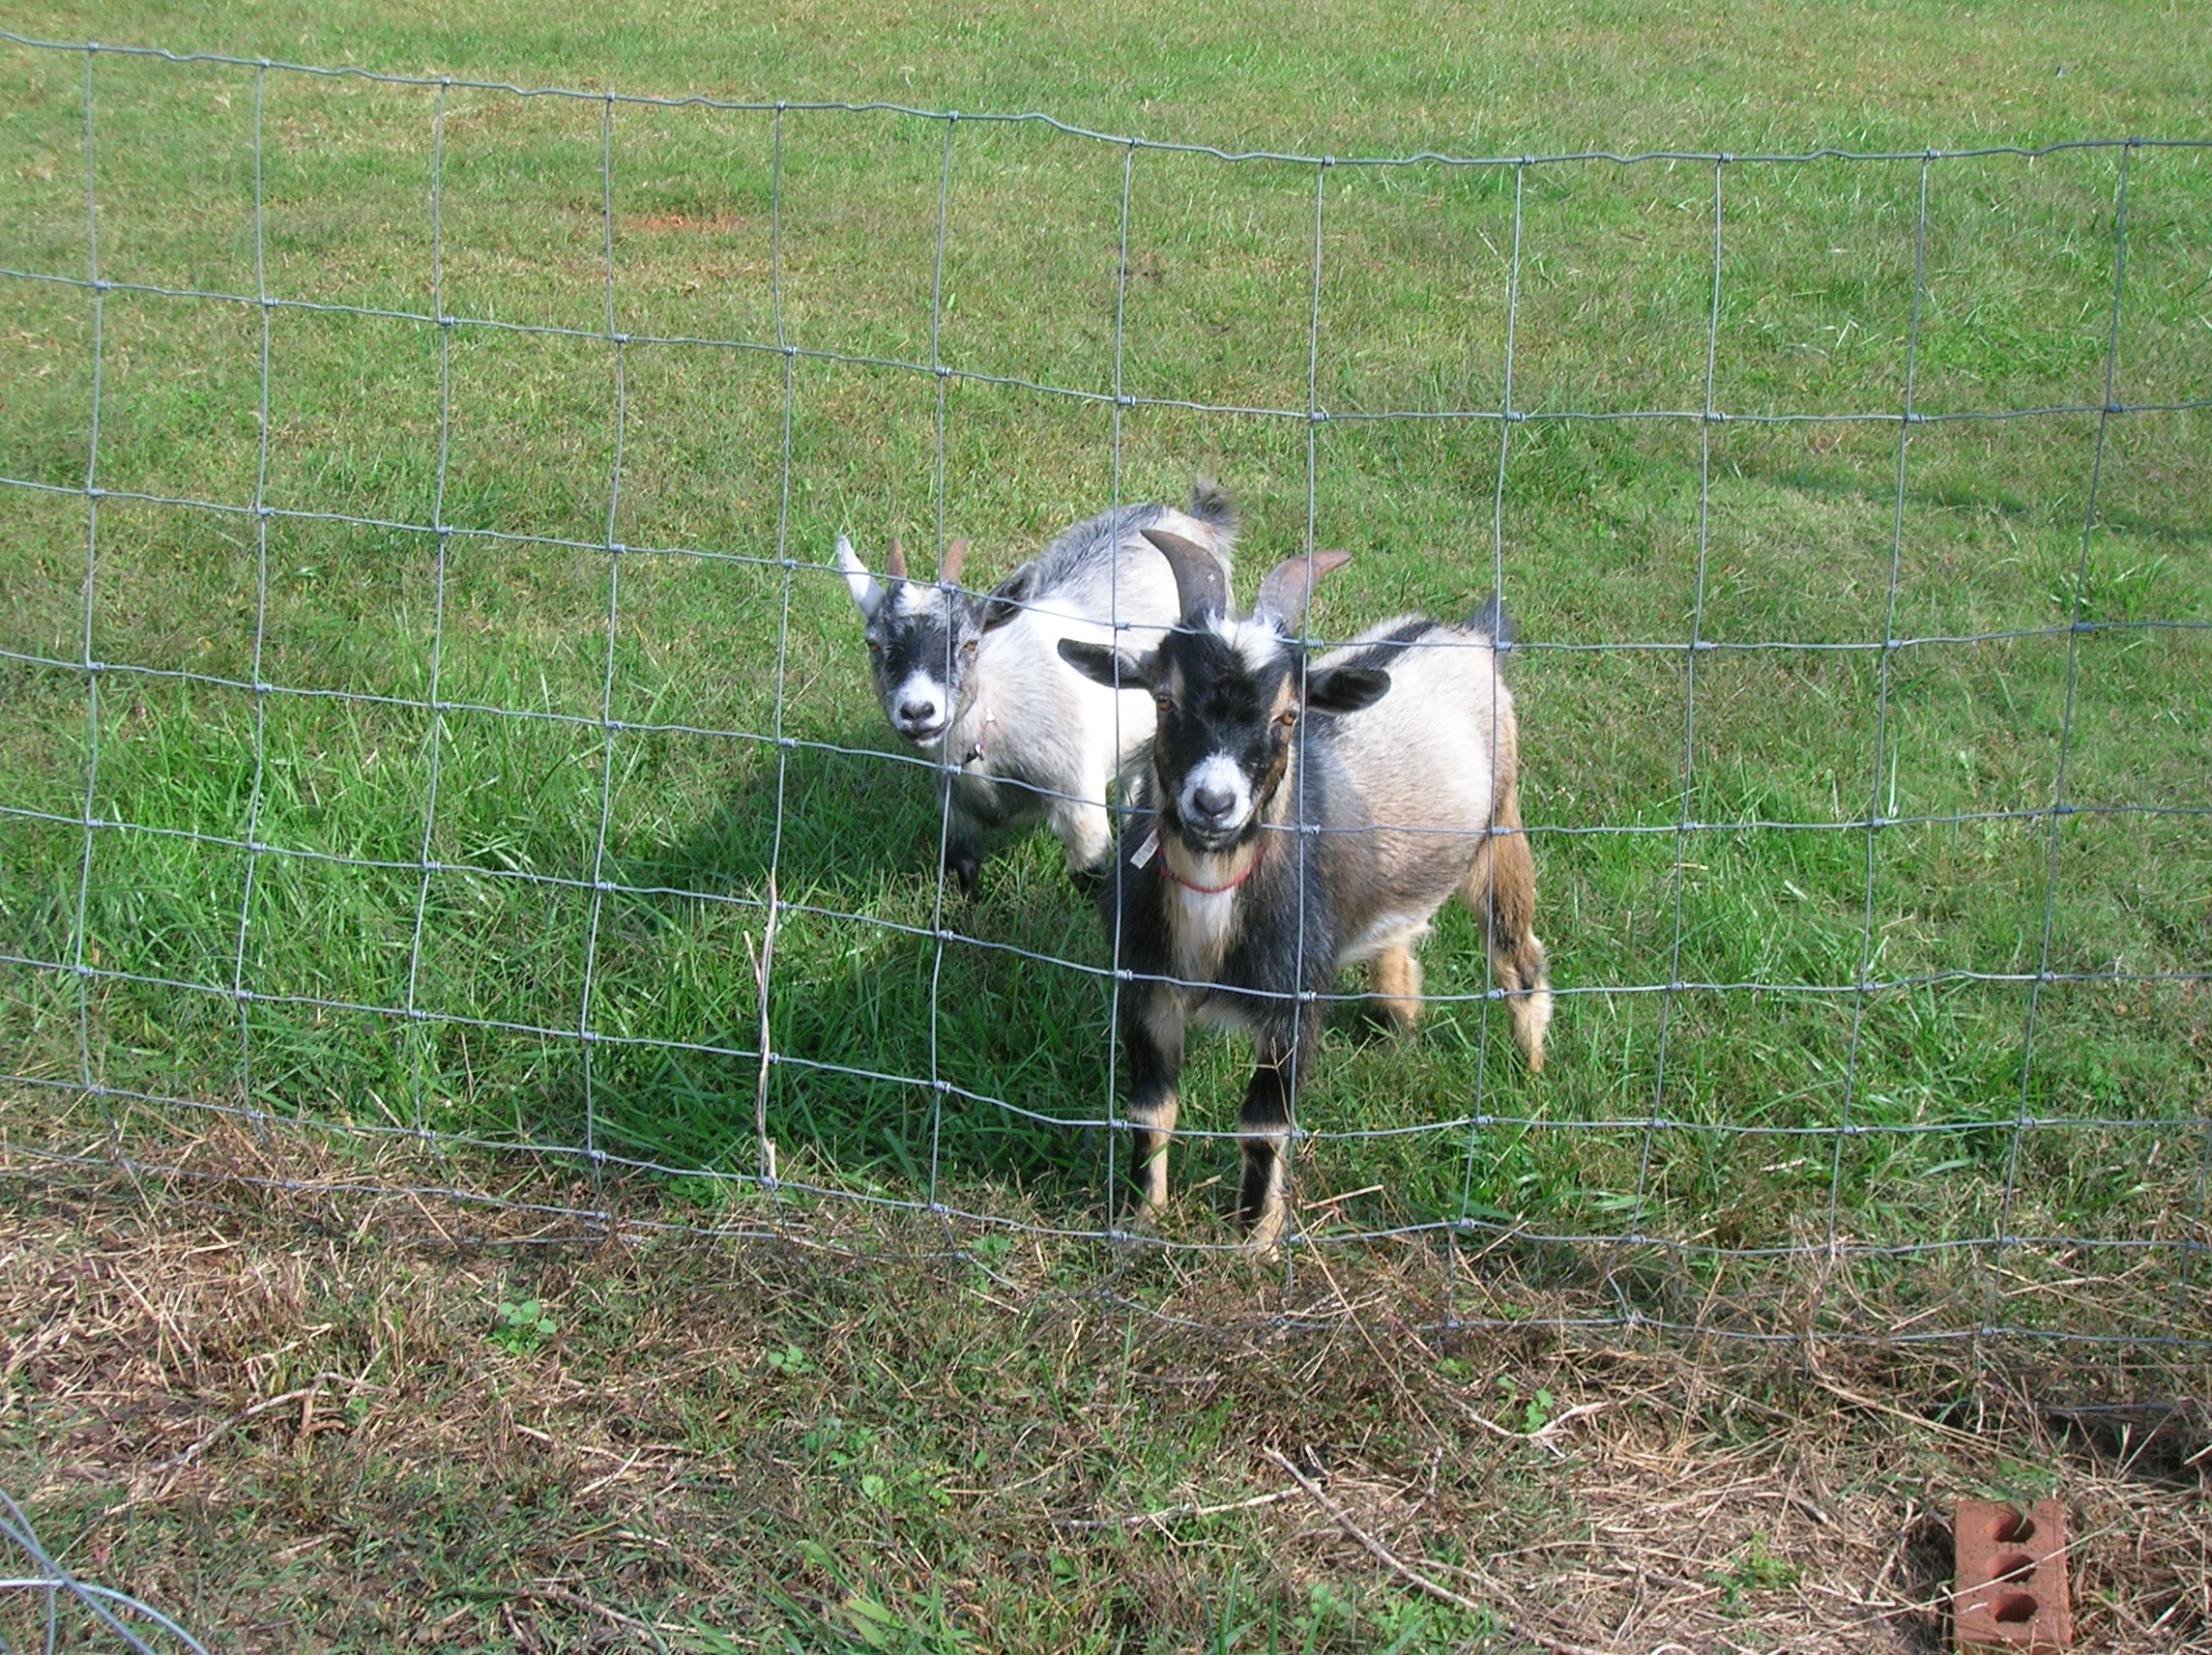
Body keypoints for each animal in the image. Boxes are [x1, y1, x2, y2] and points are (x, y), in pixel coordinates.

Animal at [831, 478, 1238, 893]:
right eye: (873, 643)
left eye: (970, 643)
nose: (917, 711)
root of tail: (1196, 520)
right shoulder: (957, 816)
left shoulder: (1080, 807)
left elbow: (1089, 875)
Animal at [1057, 531, 1548, 1238]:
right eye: (1163, 698)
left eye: (1288, 716)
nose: (1214, 803)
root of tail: (1469, 635)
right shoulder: (1147, 988)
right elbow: (1149, 1115)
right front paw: (1140, 1221)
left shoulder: (1292, 1002)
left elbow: (1263, 1127)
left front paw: (1254, 1239)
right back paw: (1399, 1018)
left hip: (1501, 826)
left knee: (1518, 953)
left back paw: (1530, 1073)